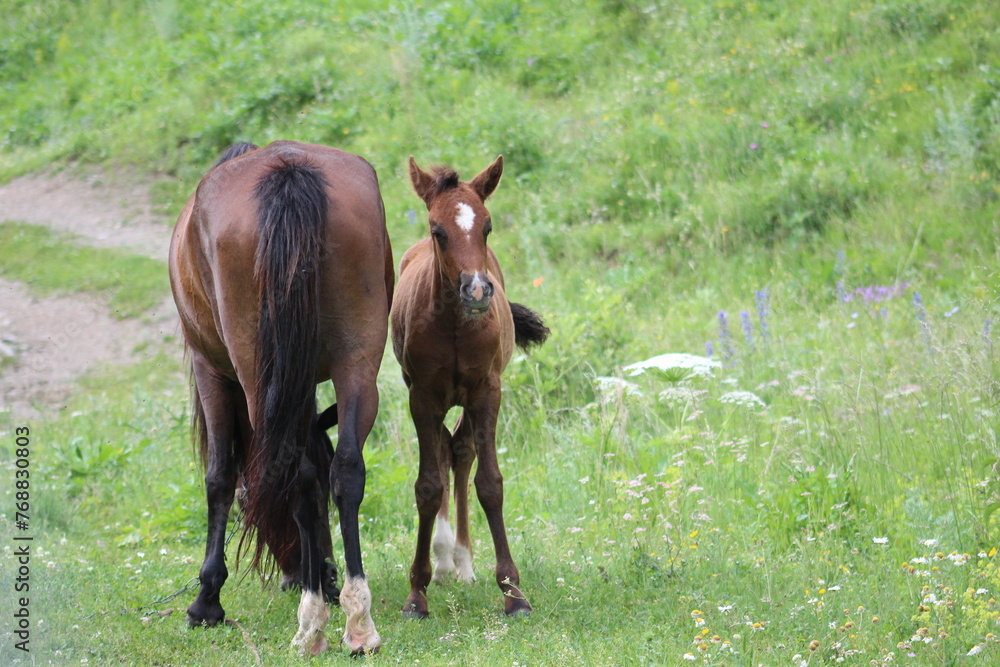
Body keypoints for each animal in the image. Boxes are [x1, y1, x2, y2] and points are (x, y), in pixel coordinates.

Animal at [168, 140, 393, 656]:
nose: (323, 571)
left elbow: (220, 478)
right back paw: (356, 618)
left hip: (253, 374)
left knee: (297, 476)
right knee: (345, 470)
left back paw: (313, 621)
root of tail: (288, 171)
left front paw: (206, 599)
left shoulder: (212, 372)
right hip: (357, 362)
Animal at [390, 155, 549, 619]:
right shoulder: (422, 397)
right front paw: (417, 593)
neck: (456, 327)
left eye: (487, 227)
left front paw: (513, 593)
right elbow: (427, 486)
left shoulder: (486, 392)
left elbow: (490, 484)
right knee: (446, 449)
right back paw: (444, 559)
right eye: (437, 230)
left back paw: (461, 560)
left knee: (460, 450)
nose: (477, 289)